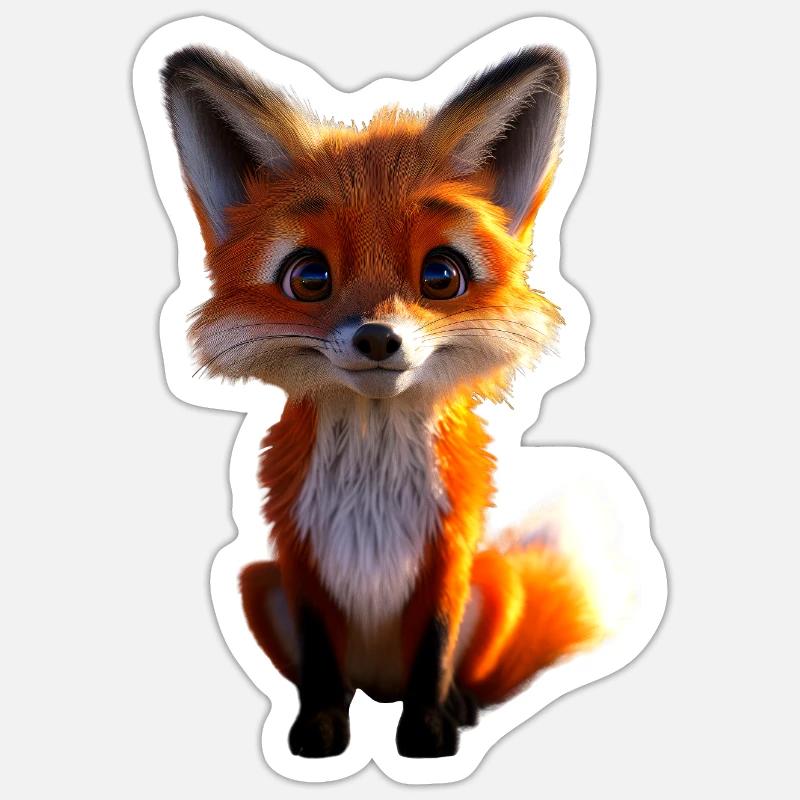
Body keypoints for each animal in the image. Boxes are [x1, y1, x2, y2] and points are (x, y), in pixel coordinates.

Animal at [160, 44, 602, 759]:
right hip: (256, 582)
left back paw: (460, 706)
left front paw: (427, 732)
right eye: (310, 276)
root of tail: (377, 684)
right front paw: (318, 733)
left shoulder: (450, 552)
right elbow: (318, 664)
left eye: (441, 275)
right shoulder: (299, 555)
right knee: (340, 677)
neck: (372, 484)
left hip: (496, 583)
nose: (377, 337)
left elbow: (434, 655)